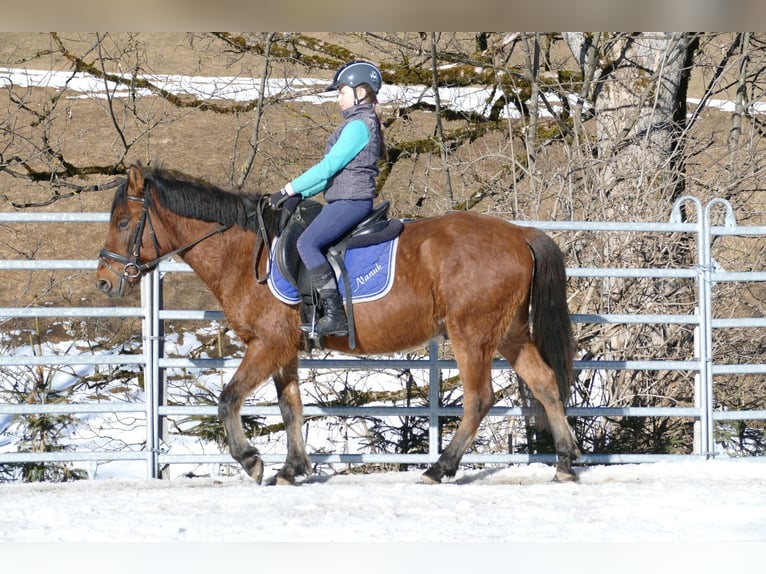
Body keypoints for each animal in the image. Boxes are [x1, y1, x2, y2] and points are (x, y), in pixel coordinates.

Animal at [96, 162, 584, 486]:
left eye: (123, 221)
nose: (103, 281)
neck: (247, 252)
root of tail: (519, 233)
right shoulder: (284, 350)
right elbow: (290, 408)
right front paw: (292, 469)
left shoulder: (266, 344)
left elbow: (228, 399)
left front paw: (251, 460)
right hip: (509, 334)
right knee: (545, 384)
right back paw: (564, 462)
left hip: (472, 337)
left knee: (479, 400)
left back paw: (439, 468)